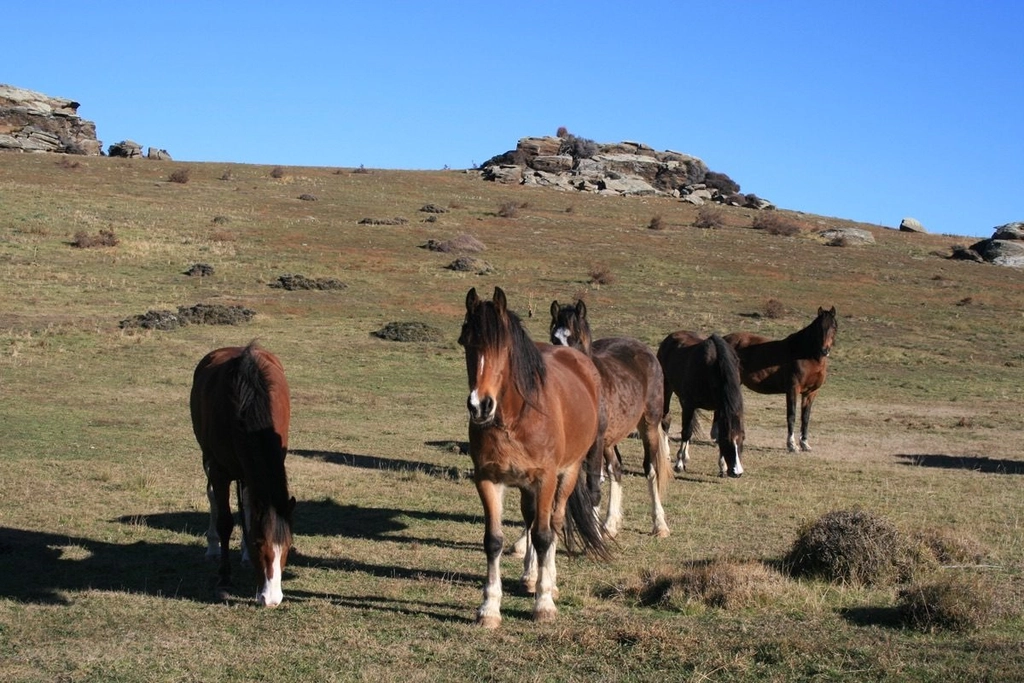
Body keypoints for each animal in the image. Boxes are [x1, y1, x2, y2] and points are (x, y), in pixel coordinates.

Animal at [190, 341, 295, 607]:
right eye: (260, 544)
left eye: (288, 545)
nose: (271, 599)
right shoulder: (219, 471)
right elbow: (225, 521)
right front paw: (224, 578)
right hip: (208, 460)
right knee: (212, 498)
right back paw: (213, 548)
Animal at [459, 287, 609, 628]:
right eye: (466, 342)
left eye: (503, 347)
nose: (479, 406)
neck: (515, 419)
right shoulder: (487, 479)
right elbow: (493, 540)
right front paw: (489, 608)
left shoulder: (545, 479)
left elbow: (543, 535)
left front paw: (544, 603)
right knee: (529, 520)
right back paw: (529, 576)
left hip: (567, 474)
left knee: (552, 523)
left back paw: (548, 582)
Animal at [548, 299, 671, 538]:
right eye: (554, 339)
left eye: (577, 339)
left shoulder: (594, 445)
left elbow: (593, 488)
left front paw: (593, 535)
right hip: (610, 440)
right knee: (616, 468)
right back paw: (610, 524)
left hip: (649, 426)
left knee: (651, 469)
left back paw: (660, 525)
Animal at [657, 331, 745, 478]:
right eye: (727, 441)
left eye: (742, 439)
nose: (737, 472)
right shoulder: (688, 404)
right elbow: (686, 432)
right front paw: (679, 463)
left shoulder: (719, 408)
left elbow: (716, 433)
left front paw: (722, 466)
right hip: (666, 387)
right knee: (665, 419)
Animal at [724, 306, 838, 452]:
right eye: (819, 327)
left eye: (834, 326)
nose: (825, 350)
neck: (806, 355)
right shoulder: (793, 389)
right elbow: (792, 415)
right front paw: (792, 445)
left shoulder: (811, 392)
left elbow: (805, 417)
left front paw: (805, 444)